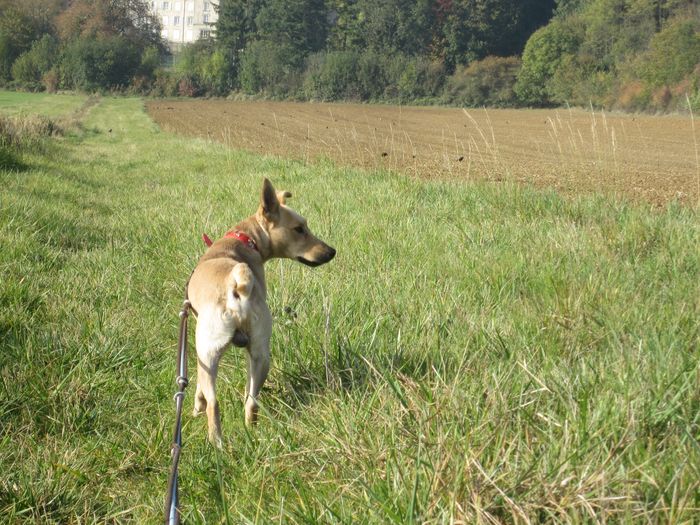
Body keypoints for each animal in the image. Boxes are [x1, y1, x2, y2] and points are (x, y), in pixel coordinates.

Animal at [186, 178, 336, 444]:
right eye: (299, 229)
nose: (331, 252)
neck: (244, 240)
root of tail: (237, 283)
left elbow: (198, 389)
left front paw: (196, 407)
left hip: (207, 354)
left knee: (215, 403)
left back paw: (216, 443)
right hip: (260, 356)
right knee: (251, 401)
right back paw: (251, 433)